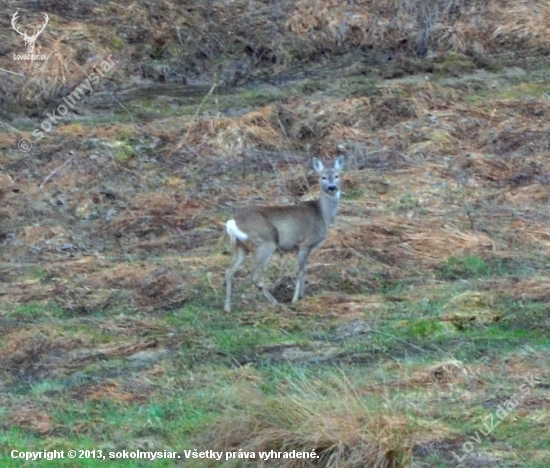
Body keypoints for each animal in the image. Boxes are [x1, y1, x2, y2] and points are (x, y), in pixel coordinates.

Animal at [224, 155, 344, 312]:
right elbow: (300, 271)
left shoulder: (303, 247)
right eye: (323, 177)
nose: (332, 187)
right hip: (265, 243)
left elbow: (305, 269)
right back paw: (274, 302)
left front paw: (302, 295)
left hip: (241, 247)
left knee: (229, 271)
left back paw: (227, 307)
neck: (322, 214)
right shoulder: (306, 243)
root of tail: (234, 222)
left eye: (337, 176)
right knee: (255, 275)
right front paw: (295, 299)